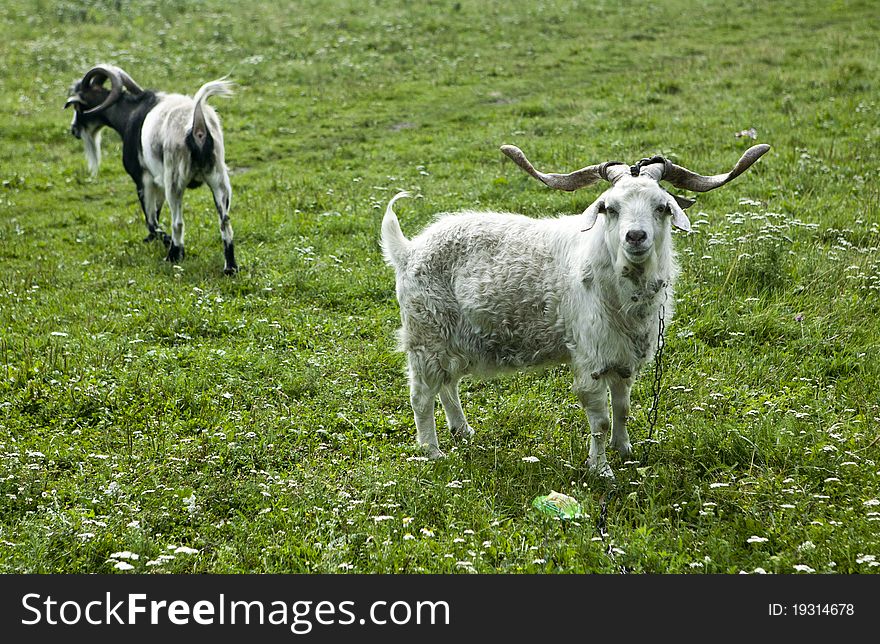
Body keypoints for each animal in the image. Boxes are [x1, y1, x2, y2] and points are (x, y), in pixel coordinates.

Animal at [64, 65, 241, 274]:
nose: (74, 129)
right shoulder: (159, 181)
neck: (130, 114)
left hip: (175, 180)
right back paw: (230, 268)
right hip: (218, 179)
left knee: (177, 222)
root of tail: (198, 126)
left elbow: (151, 219)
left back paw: (173, 255)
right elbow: (156, 212)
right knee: (225, 222)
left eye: (79, 107)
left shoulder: (143, 178)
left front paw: (162, 240)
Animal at [382, 146, 768, 478]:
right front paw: (601, 470)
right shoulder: (590, 358)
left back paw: (463, 432)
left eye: (661, 206)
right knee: (421, 395)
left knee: (447, 385)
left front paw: (625, 451)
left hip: (452, 339)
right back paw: (432, 452)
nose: (635, 236)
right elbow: (599, 419)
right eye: (609, 207)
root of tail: (407, 250)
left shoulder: (623, 358)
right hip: (426, 335)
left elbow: (622, 409)